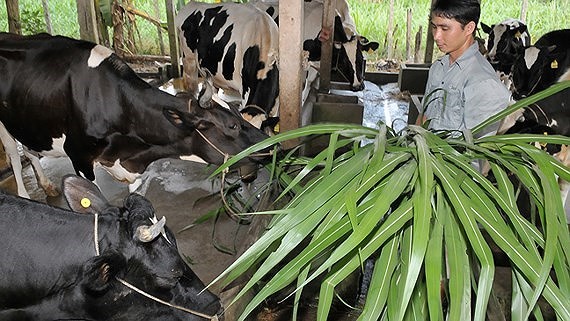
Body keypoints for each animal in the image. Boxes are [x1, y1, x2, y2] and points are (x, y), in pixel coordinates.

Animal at [0, 32, 270, 198]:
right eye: (232, 125)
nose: (271, 145)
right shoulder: (79, 156)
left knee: (29, 150)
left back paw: (47, 186)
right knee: (14, 156)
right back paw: (25, 194)